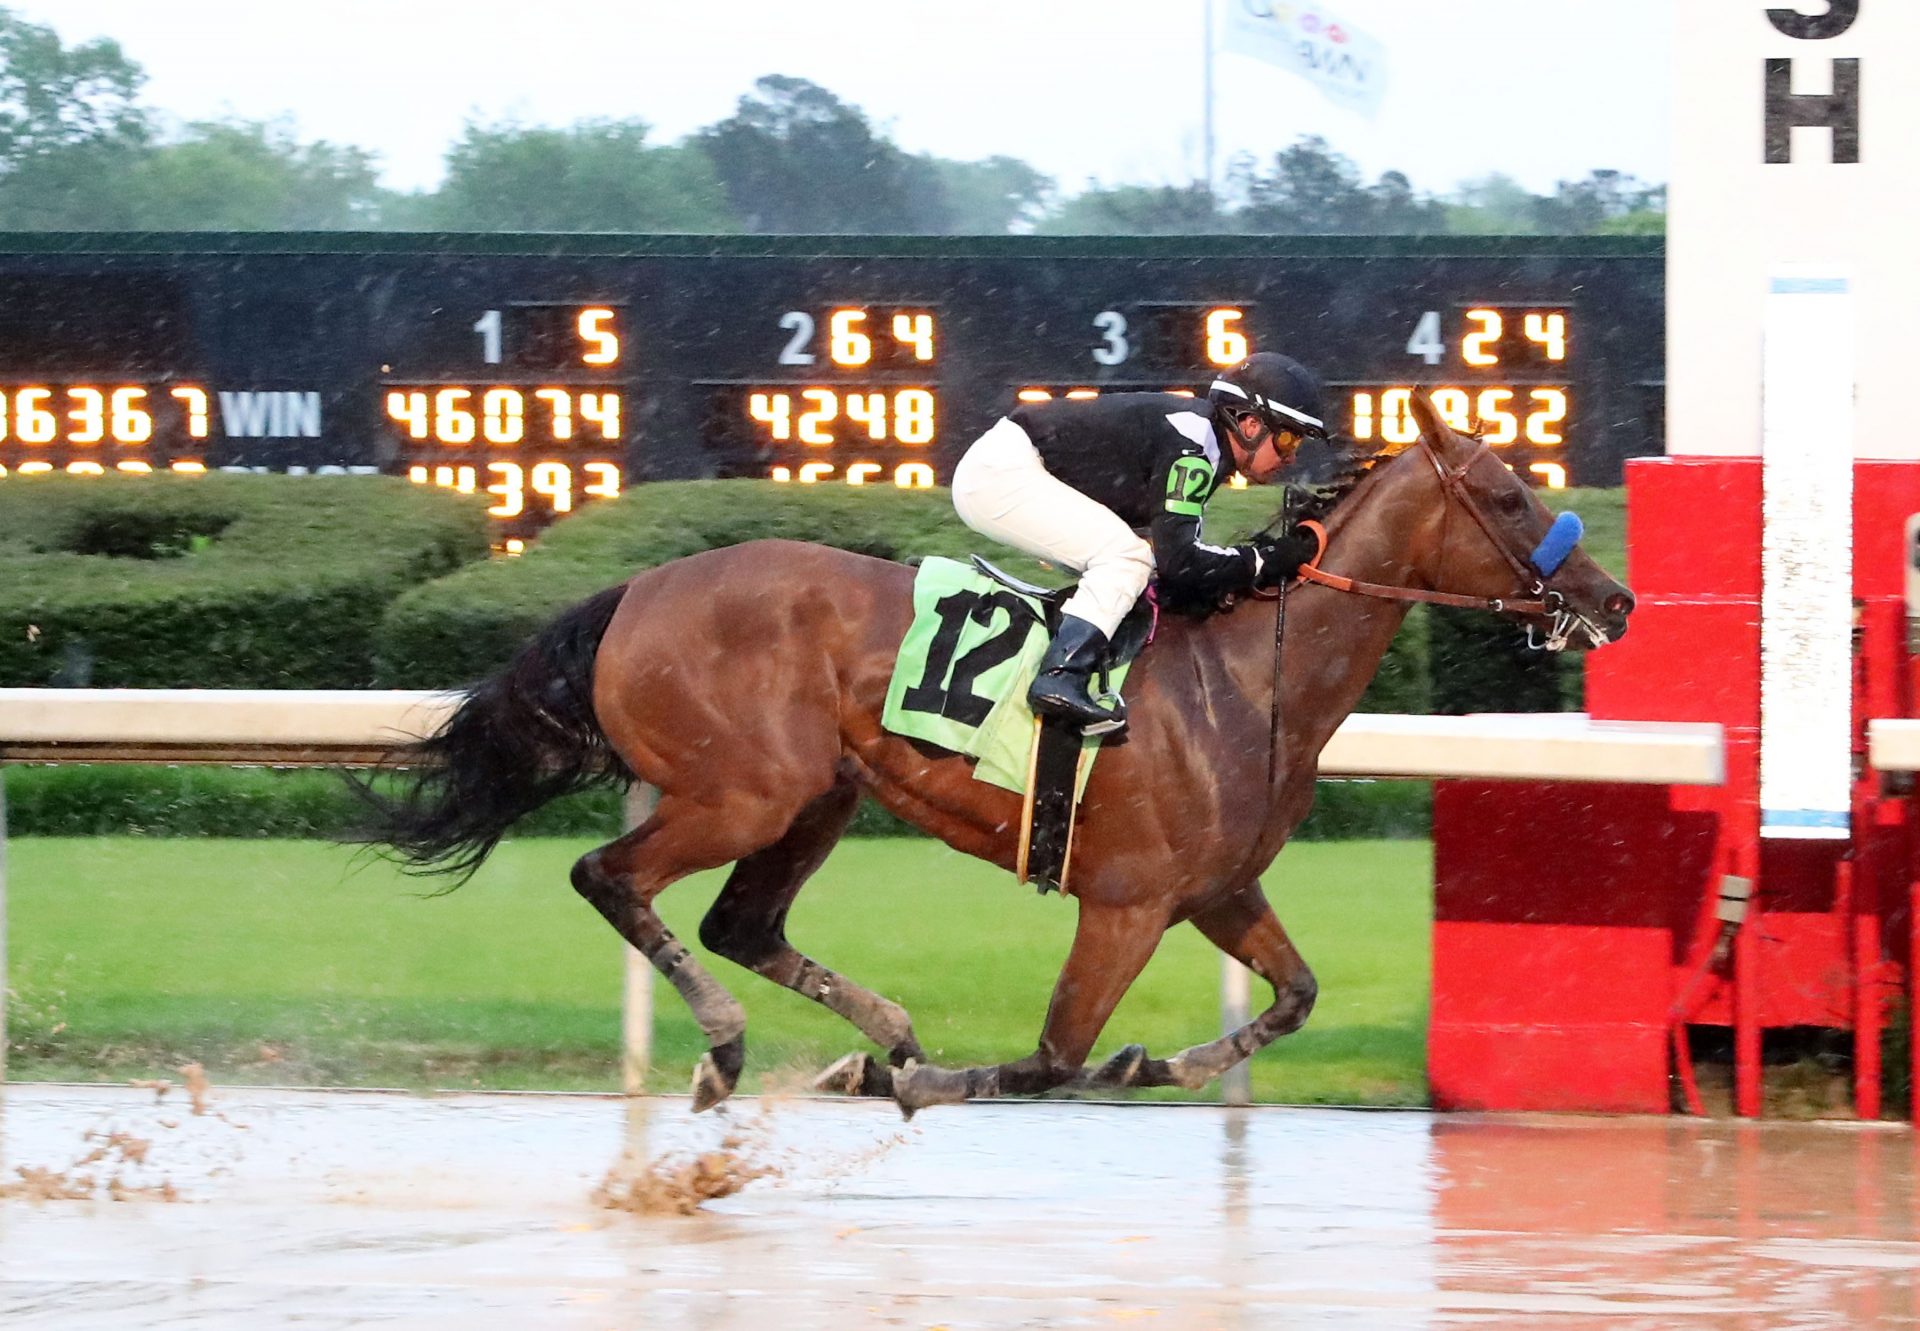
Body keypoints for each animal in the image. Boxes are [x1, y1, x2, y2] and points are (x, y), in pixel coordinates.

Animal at [362, 391, 1635, 1113]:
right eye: (1509, 497)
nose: (1613, 598)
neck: (1252, 675)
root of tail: (635, 590)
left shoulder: (1218, 890)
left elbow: (1294, 997)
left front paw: (1154, 1064)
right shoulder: (1126, 904)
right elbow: (1054, 1057)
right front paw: (933, 1080)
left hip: (818, 795)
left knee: (741, 924)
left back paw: (873, 1033)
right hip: (741, 790)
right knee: (611, 877)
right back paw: (733, 1047)